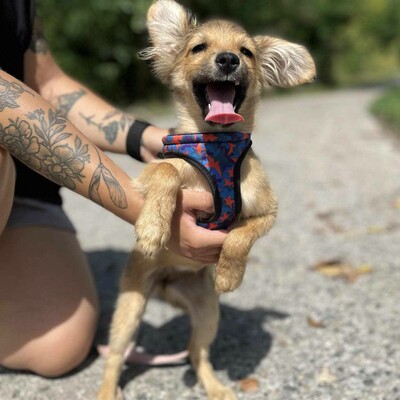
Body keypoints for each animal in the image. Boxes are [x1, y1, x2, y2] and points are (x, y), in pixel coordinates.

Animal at [97, 1, 316, 398]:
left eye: (247, 52)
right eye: (198, 48)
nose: (228, 59)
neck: (216, 146)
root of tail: (166, 283)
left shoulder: (267, 213)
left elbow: (240, 238)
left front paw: (230, 273)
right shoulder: (145, 175)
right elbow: (167, 173)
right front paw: (152, 228)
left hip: (207, 311)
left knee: (196, 352)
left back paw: (215, 386)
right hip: (129, 308)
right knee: (115, 357)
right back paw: (107, 391)